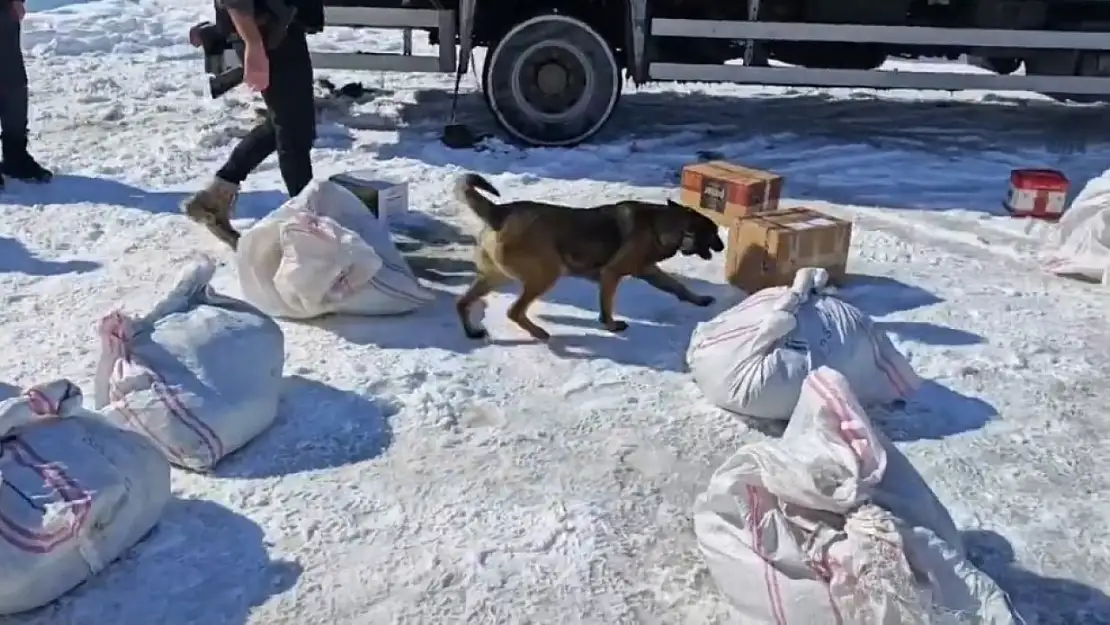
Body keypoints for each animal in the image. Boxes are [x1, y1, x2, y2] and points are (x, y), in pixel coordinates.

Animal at [452, 173, 723, 341]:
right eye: (714, 233)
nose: (722, 246)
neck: (664, 224)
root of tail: (498, 213)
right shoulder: (612, 274)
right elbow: (607, 306)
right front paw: (611, 325)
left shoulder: (649, 271)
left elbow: (679, 287)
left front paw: (699, 299)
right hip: (545, 275)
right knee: (514, 311)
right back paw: (538, 333)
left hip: (495, 276)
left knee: (463, 302)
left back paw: (471, 331)